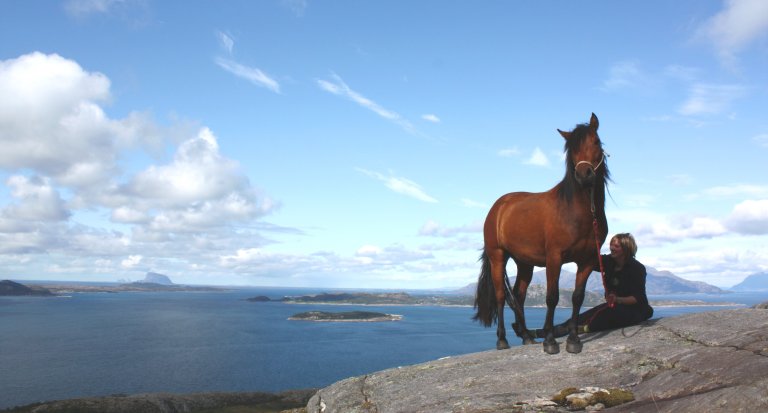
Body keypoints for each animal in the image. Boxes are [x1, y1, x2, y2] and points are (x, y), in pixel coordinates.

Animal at [472, 112, 608, 354]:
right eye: (572, 149)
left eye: (596, 141)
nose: (584, 175)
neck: (578, 212)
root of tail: (499, 206)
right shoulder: (554, 258)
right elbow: (552, 297)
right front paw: (550, 341)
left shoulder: (588, 261)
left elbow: (577, 297)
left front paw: (573, 340)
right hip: (498, 256)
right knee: (501, 296)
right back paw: (502, 340)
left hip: (524, 263)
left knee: (518, 296)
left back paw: (526, 336)